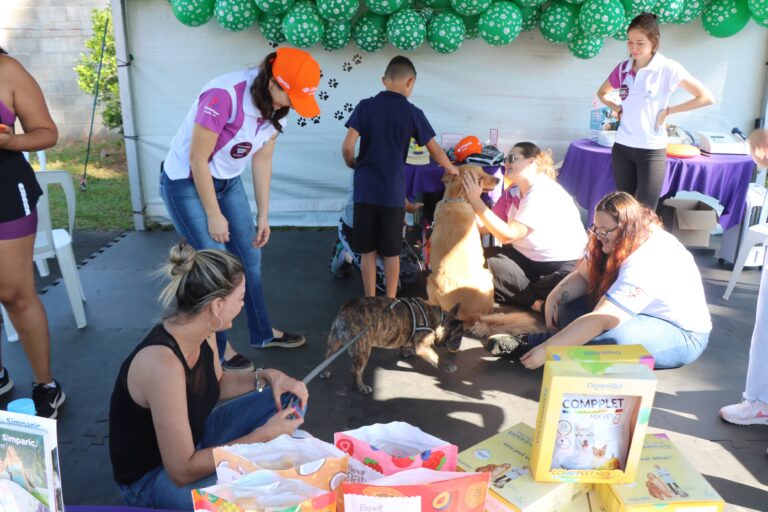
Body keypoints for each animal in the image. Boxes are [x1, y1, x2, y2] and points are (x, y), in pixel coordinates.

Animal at [318, 294, 462, 394]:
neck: (439, 320)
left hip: (334, 341)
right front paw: (447, 367)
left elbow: (403, 345)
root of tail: (346, 308)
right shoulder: (423, 346)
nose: (459, 345)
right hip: (363, 350)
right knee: (357, 371)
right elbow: (436, 358)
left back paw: (325, 372)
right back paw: (362, 387)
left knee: (327, 357)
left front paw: (404, 352)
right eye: (458, 337)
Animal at [426, 165, 498, 324]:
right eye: (480, 177)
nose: (497, 179)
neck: (455, 199)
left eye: (484, 170)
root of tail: (468, 314)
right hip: (487, 274)